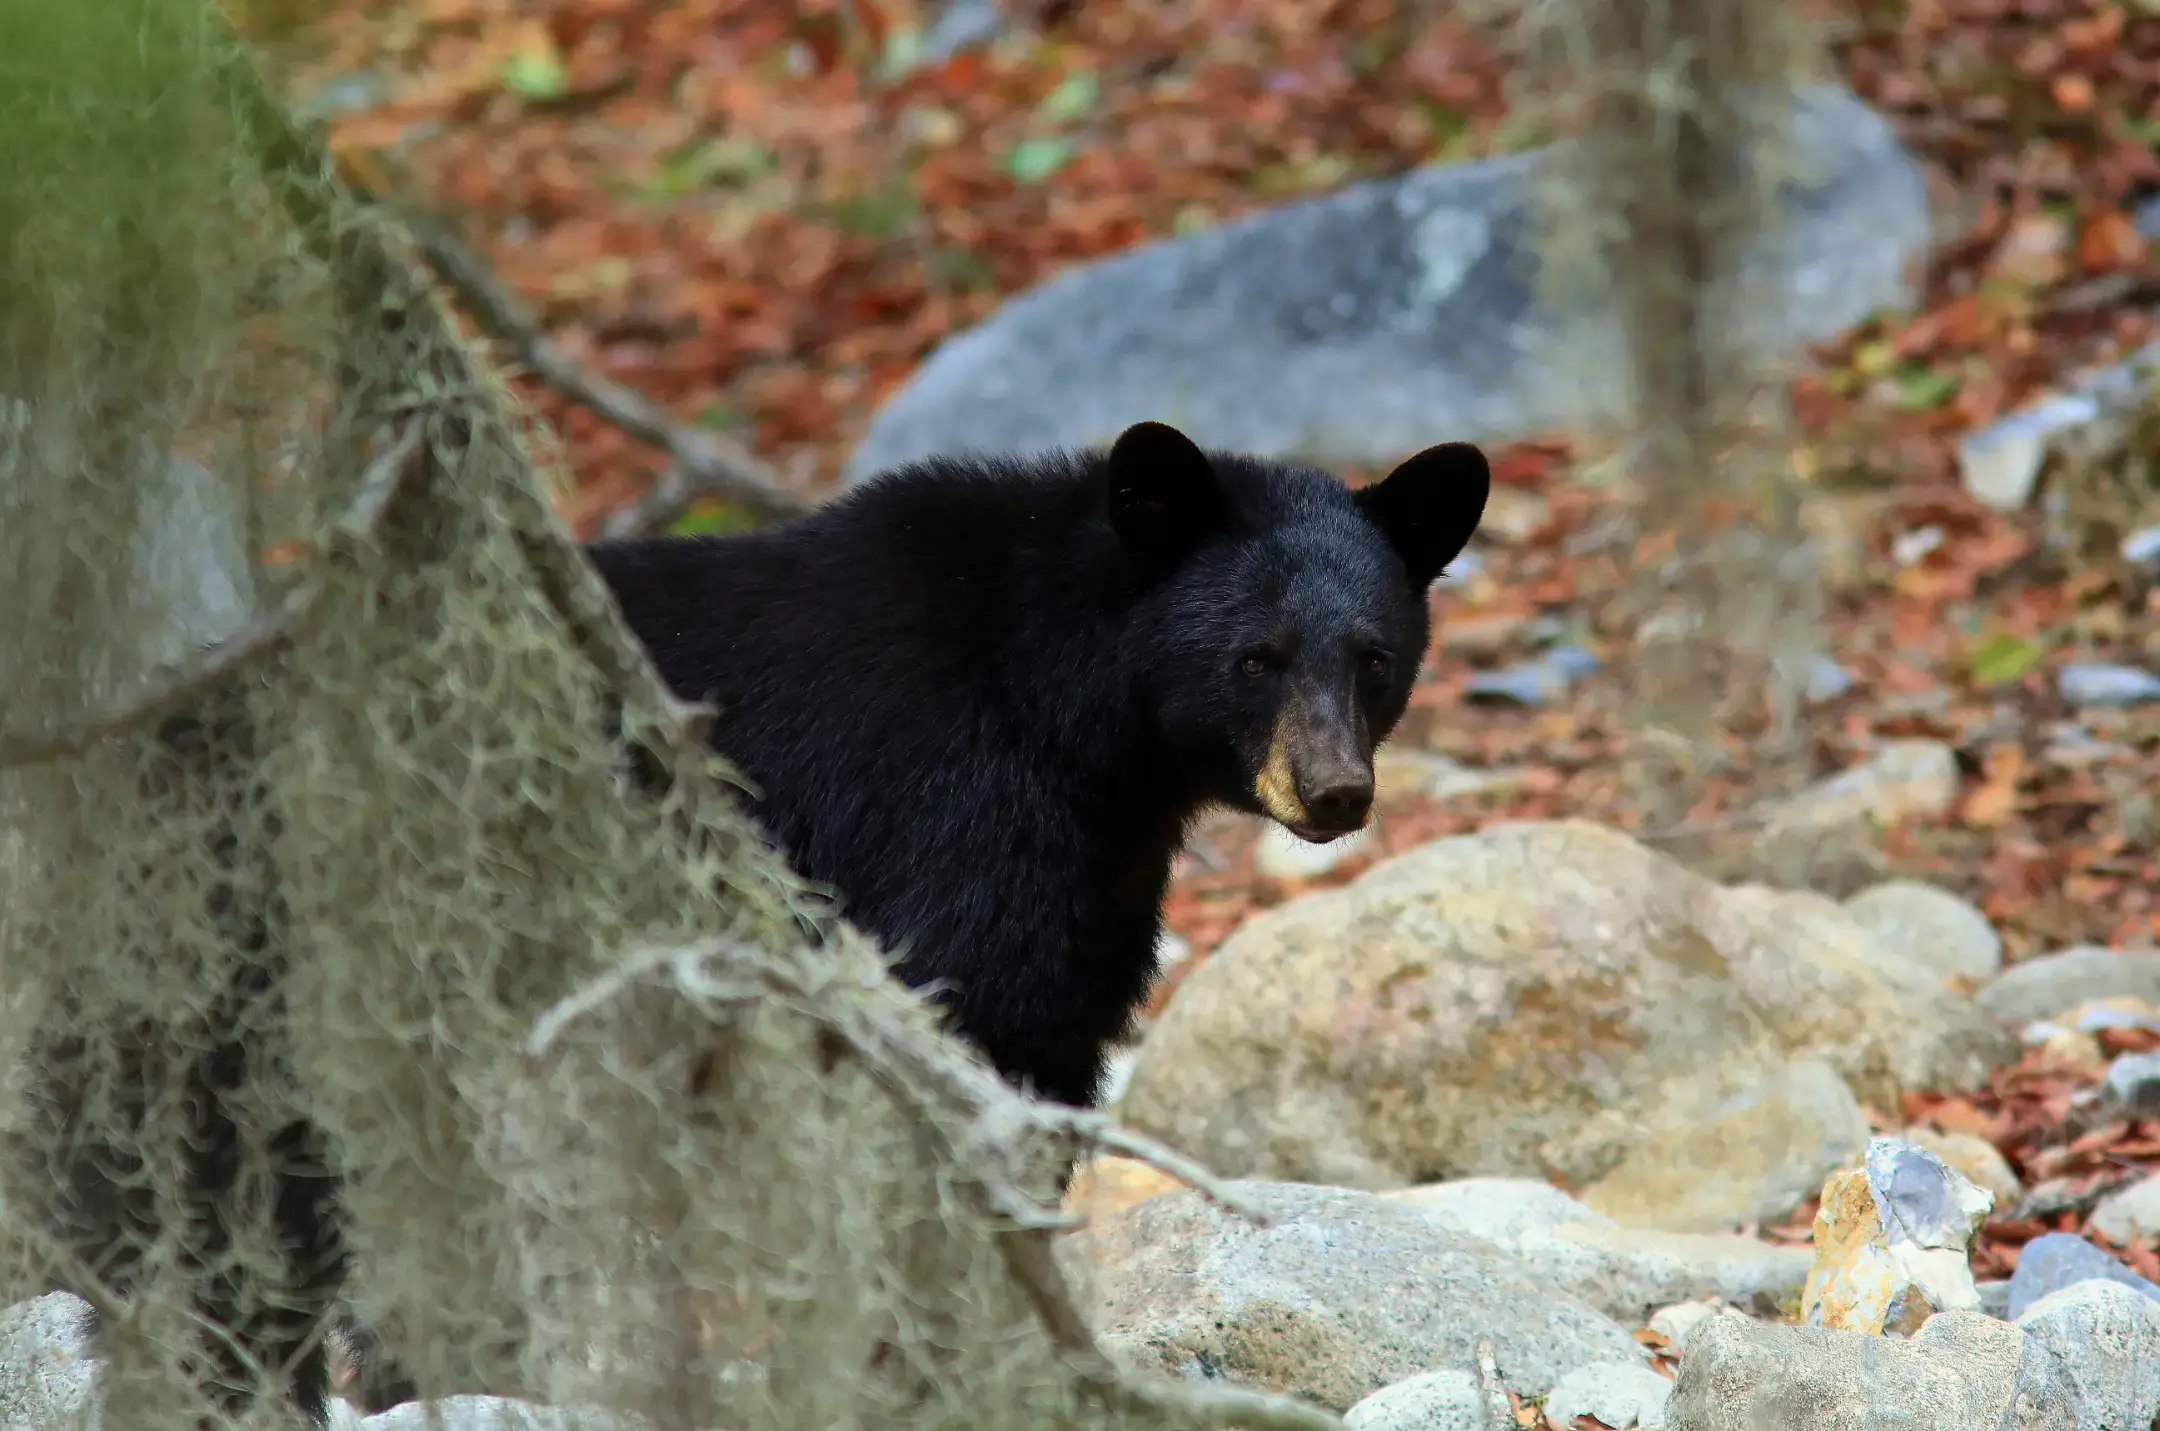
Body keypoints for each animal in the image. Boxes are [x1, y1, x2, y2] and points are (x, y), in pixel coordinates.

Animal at [587, 420, 1490, 1108]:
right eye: (1256, 660)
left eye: (1374, 660)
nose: (1334, 790)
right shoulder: (939, 800)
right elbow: (974, 1001)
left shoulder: (1099, 876)